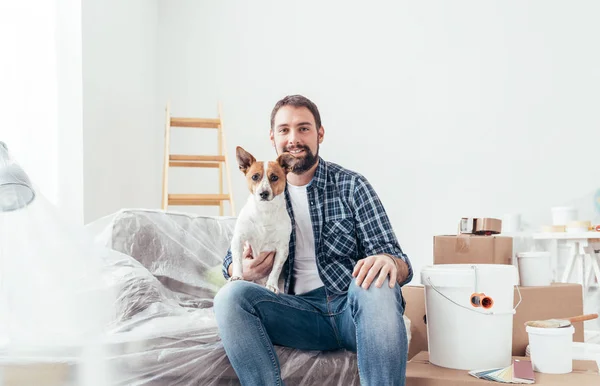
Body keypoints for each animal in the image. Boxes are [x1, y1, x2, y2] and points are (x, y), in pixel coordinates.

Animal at [229, 146, 296, 292]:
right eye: (255, 176)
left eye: (274, 177)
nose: (263, 193)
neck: (265, 211)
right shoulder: (238, 239)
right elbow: (238, 260)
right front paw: (237, 276)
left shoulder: (282, 247)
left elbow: (275, 270)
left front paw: (271, 285)